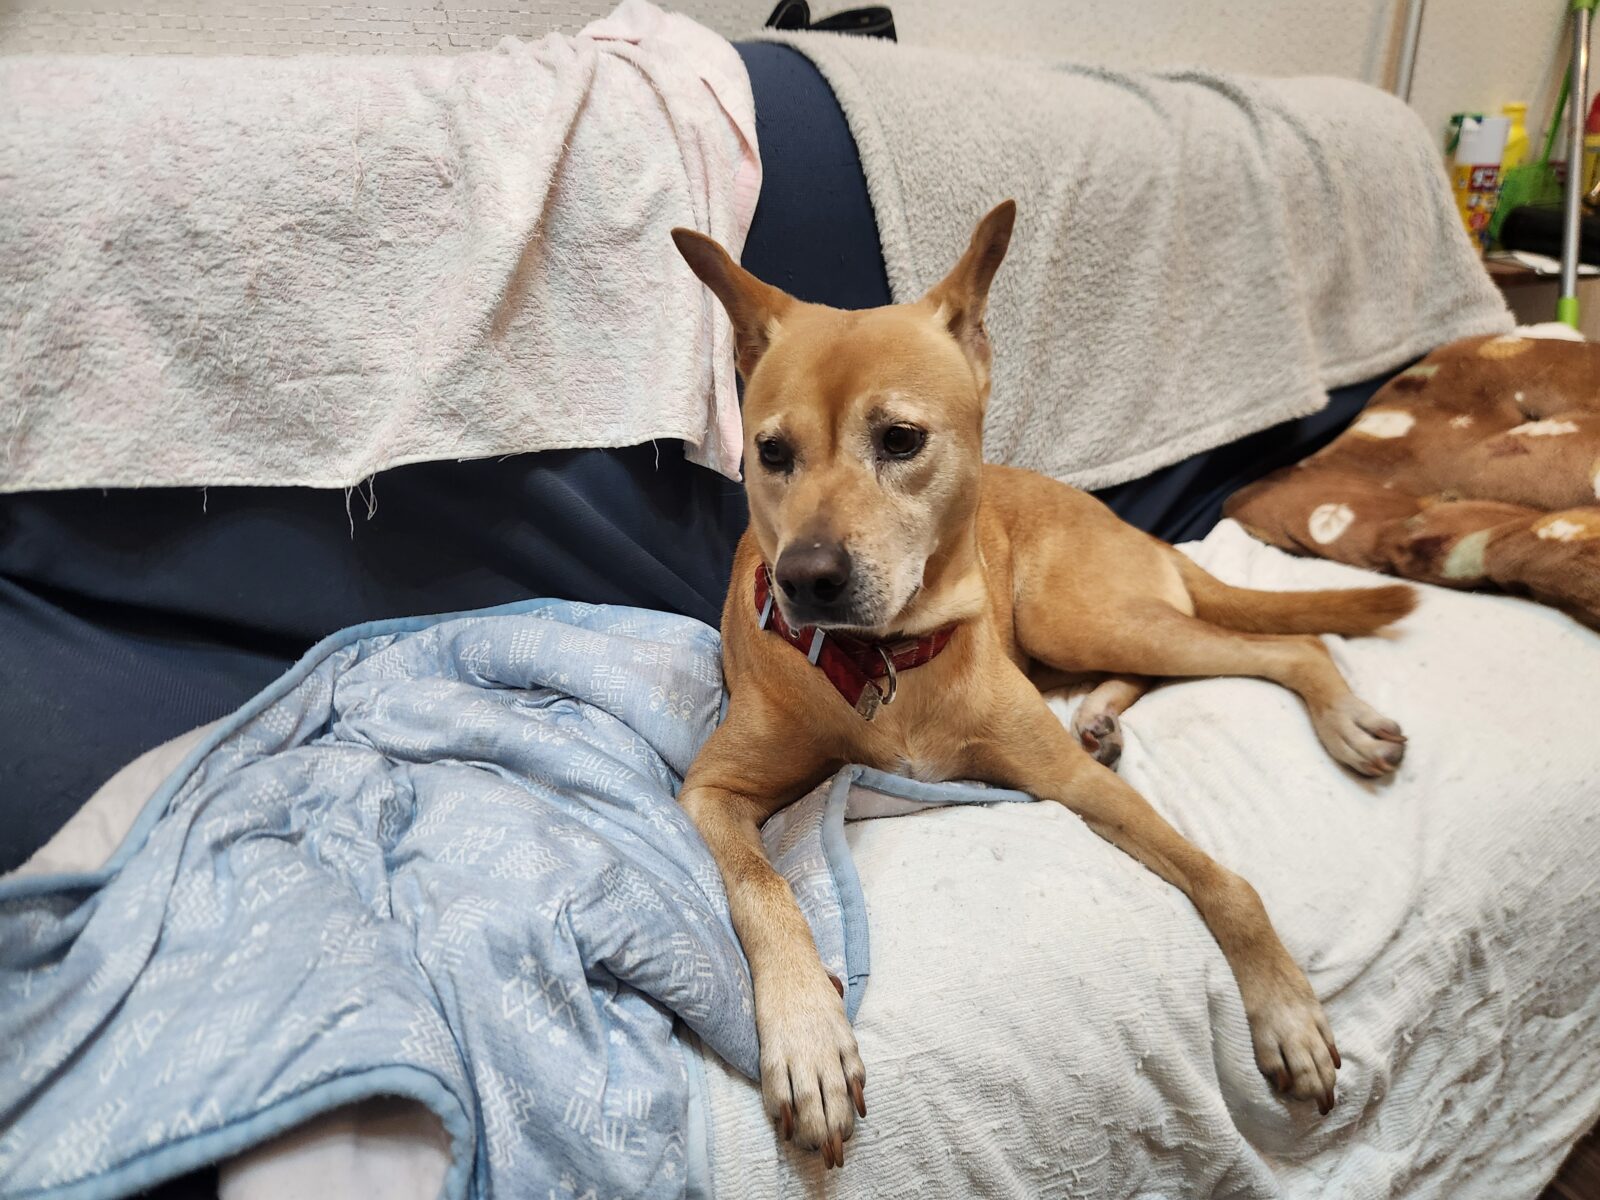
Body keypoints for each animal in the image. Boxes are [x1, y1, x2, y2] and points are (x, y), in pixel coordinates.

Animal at [670, 200, 1415, 1168]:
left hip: (1077, 614)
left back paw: (1339, 719)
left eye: (900, 439)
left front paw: (1287, 1012)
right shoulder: (712, 791)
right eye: (771, 451)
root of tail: (1136, 528)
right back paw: (1101, 715)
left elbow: (1228, 886)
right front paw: (808, 1039)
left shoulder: (1067, 781)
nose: (806, 578)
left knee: (1292, 647)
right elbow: (764, 891)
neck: (887, 661)